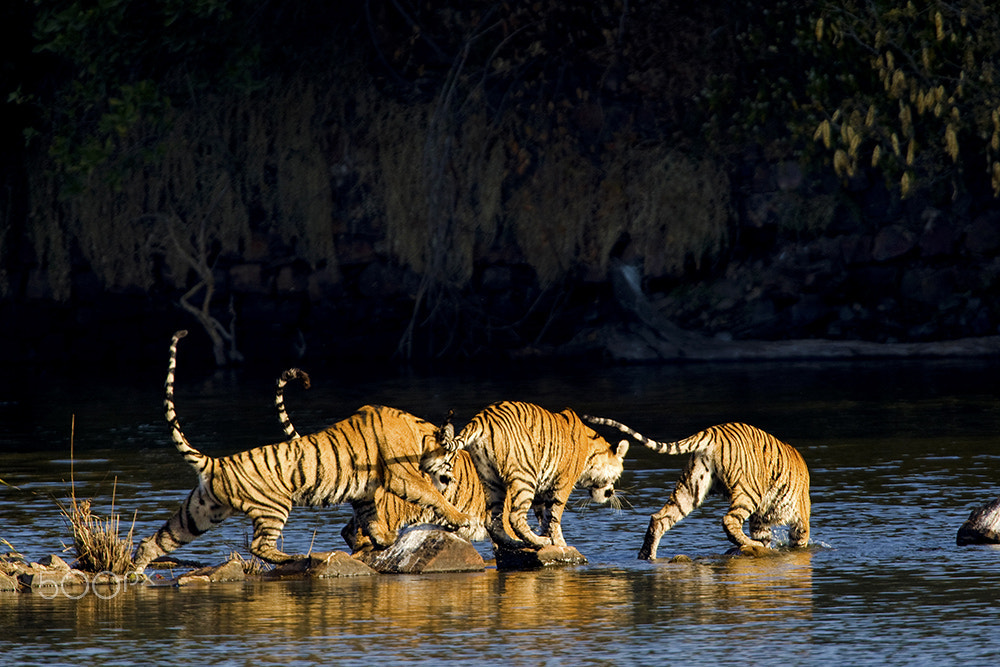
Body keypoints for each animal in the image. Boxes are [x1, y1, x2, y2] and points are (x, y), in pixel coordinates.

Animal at [272, 373, 491, 553]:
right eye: (453, 458)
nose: (452, 479)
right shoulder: (403, 476)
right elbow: (435, 496)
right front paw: (462, 518)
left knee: (352, 528)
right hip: (388, 509)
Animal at [442, 401, 630, 550]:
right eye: (615, 478)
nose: (610, 493)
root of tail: (482, 418)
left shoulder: (543, 489)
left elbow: (545, 518)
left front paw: (552, 540)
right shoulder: (563, 484)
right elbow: (555, 517)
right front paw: (560, 544)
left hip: (491, 480)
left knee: (492, 521)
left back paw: (514, 543)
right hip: (525, 476)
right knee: (515, 517)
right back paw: (539, 542)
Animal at [582, 416, 810, 560]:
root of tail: (713, 430)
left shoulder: (760, 521)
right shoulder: (800, 518)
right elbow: (800, 540)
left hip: (691, 487)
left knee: (659, 518)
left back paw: (646, 556)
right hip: (749, 491)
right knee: (729, 520)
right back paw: (749, 544)